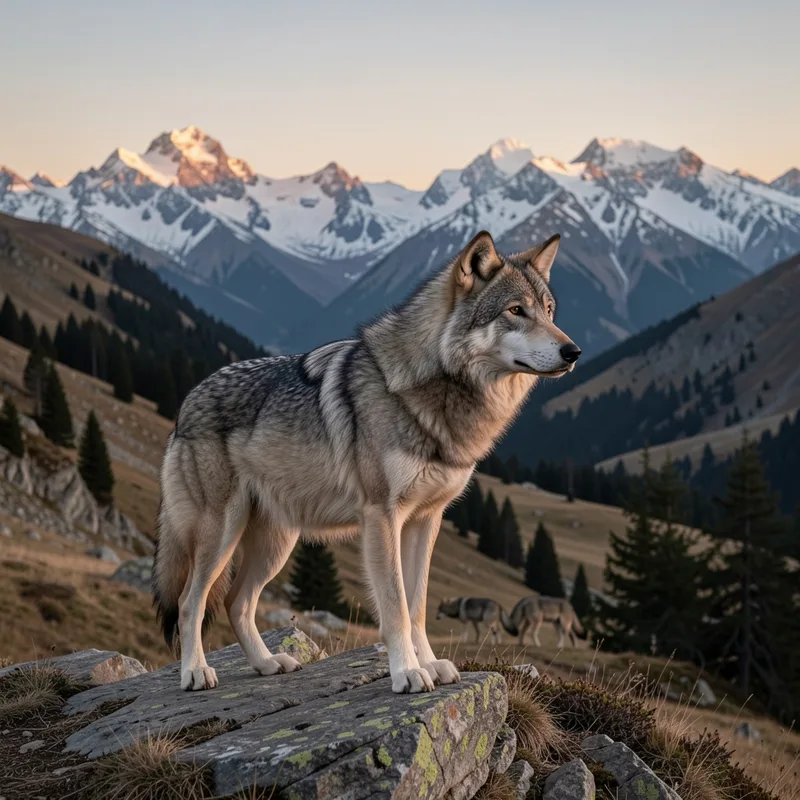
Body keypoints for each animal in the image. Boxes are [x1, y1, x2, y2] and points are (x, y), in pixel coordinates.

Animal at [153, 229, 581, 694]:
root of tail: (187, 401)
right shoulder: (382, 516)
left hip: (276, 544)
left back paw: (267, 663)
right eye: (516, 311)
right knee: (189, 601)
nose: (573, 351)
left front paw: (430, 665)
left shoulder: (425, 521)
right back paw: (195, 672)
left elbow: (417, 606)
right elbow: (395, 606)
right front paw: (407, 673)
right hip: (222, 534)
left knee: (236, 602)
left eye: (549, 311)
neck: (432, 390)